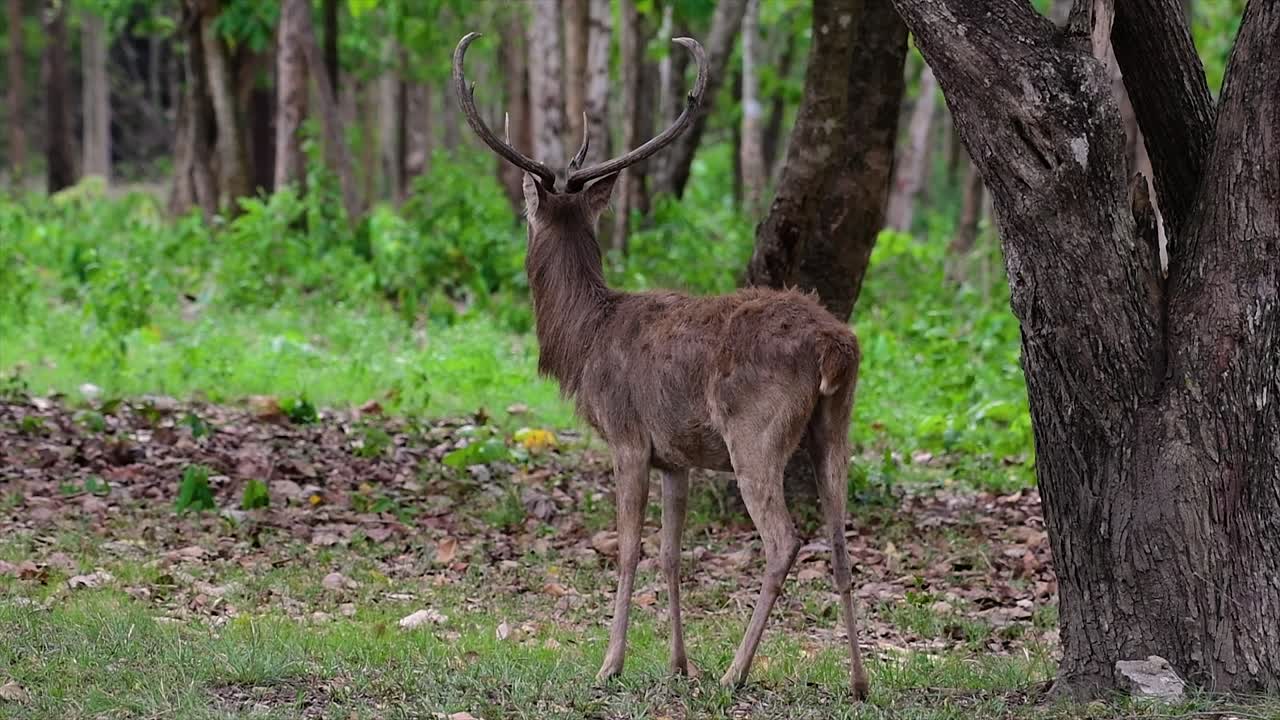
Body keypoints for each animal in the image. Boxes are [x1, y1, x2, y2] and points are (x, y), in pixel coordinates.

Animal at [453, 32, 870, 699]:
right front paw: (678, 663)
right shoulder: (676, 455)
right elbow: (674, 554)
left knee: (784, 540)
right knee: (839, 537)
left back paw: (735, 672)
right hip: (836, 423)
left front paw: (611, 663)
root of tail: (836, 347)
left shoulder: (627, 436)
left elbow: (627, 548)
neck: (585, 341)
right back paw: (857, 682)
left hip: (755, 432)